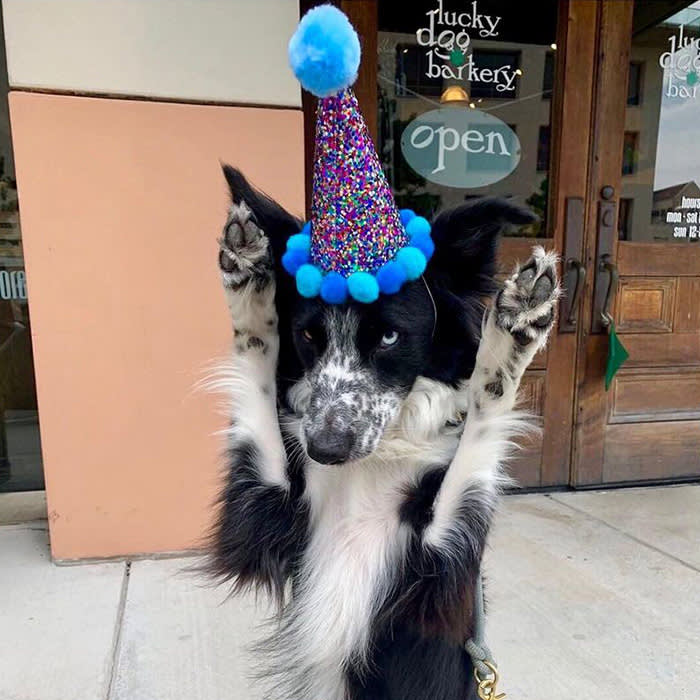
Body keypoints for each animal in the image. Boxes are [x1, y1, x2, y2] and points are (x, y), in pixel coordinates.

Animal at [206, 167, 556, 700]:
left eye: (390, 336)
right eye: (308, 336)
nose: (325, 449)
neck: (374, 458)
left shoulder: (439, 572)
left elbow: (481, 422)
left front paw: (516, 328)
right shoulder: (265, 516)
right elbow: (256, 372)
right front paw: (247, 281)